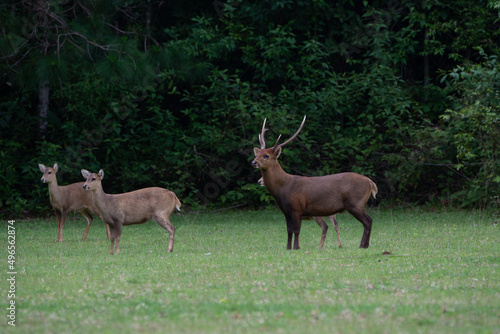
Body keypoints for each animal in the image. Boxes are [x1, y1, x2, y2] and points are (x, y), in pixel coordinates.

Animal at [252, 116, 376, 249]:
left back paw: (362, 245)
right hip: (358, 204)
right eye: (257, 154)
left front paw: (296, 247)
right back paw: (365, 245)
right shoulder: (286, 212)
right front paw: (288, 248)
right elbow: (289, 231)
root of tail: (371, 182)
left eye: (266, 156)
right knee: (369, 220)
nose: (253, 162)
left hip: (355, 203)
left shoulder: (297, 208)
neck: (283, 188)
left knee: (367, 221)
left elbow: (297, 230)